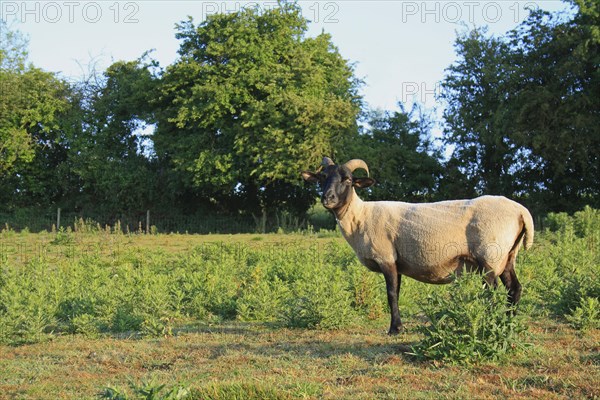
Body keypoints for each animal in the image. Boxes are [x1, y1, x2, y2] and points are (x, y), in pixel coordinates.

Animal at [300, 156, 536, 334]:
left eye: (348, 180)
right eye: (322, 178)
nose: (327, 198)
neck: (360, 216)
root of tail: (521, 211)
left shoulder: (386, 258)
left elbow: (391, 294)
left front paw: (395, 329)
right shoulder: (397, 262)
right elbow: (397, 292)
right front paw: (397, 326)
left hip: (490, 256)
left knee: (492, 292)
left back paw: (492, 323)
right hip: (507, 256)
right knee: (514, 289)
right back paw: (507, 324)